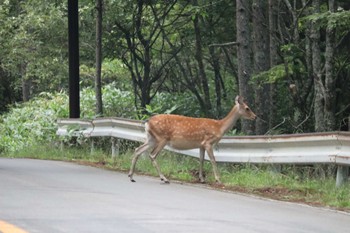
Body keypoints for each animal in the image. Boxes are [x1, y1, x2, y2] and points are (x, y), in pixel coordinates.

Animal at [127, 95, 256, 185]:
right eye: (247, 108)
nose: (255, 116)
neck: (219, 127)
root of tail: (147, 122)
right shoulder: (208, 142)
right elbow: (213, 160)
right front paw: (218, 180)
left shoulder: (201, 145)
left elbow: (201, 160)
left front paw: (202, 179)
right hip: (162, 138)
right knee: (152, 155)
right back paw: (164, 178)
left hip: (152, 138)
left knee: (138, 149)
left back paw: (131, 176)